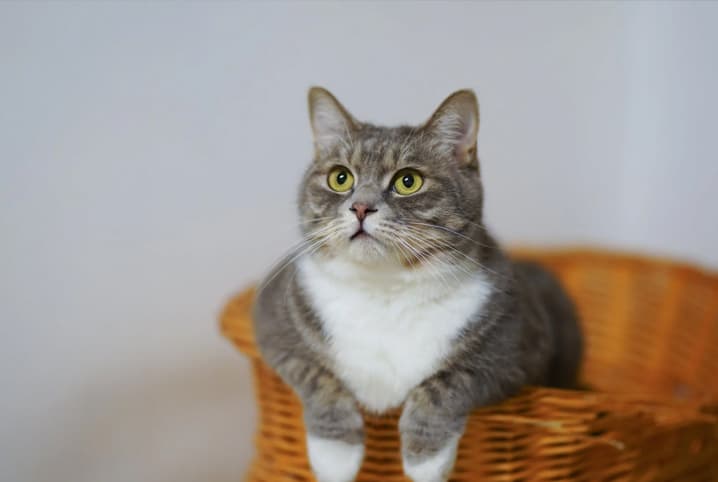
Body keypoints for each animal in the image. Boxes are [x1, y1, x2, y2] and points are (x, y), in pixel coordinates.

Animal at [253, 87, 584, 482]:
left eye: (407, 181)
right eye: (340, 178)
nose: (360, 207)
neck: (385, 290)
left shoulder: (515, 345)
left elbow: (448, 381)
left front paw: (426, 460)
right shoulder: (274, 320)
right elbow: (316, 374)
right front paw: (336, 456)